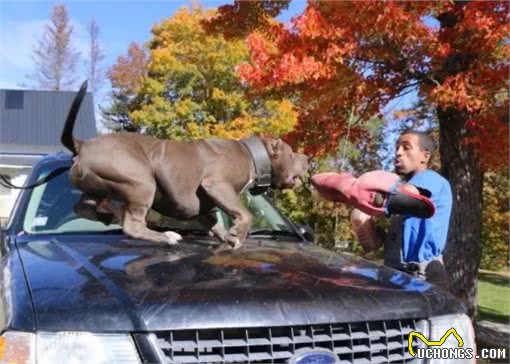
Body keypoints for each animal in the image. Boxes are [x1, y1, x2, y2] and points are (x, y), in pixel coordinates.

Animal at [63, 82, 306, 247]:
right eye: (291, 153)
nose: (308, 159)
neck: (252, 155)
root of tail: (82, 144)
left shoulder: (207, 204)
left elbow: (214, 221)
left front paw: (228, 236)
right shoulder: (217, 185)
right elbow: (244, 212)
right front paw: (237, 235)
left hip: (100, 185)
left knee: (84, 206)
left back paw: (110, 215)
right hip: (141, 182)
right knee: (133, 226)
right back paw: (166, 236)